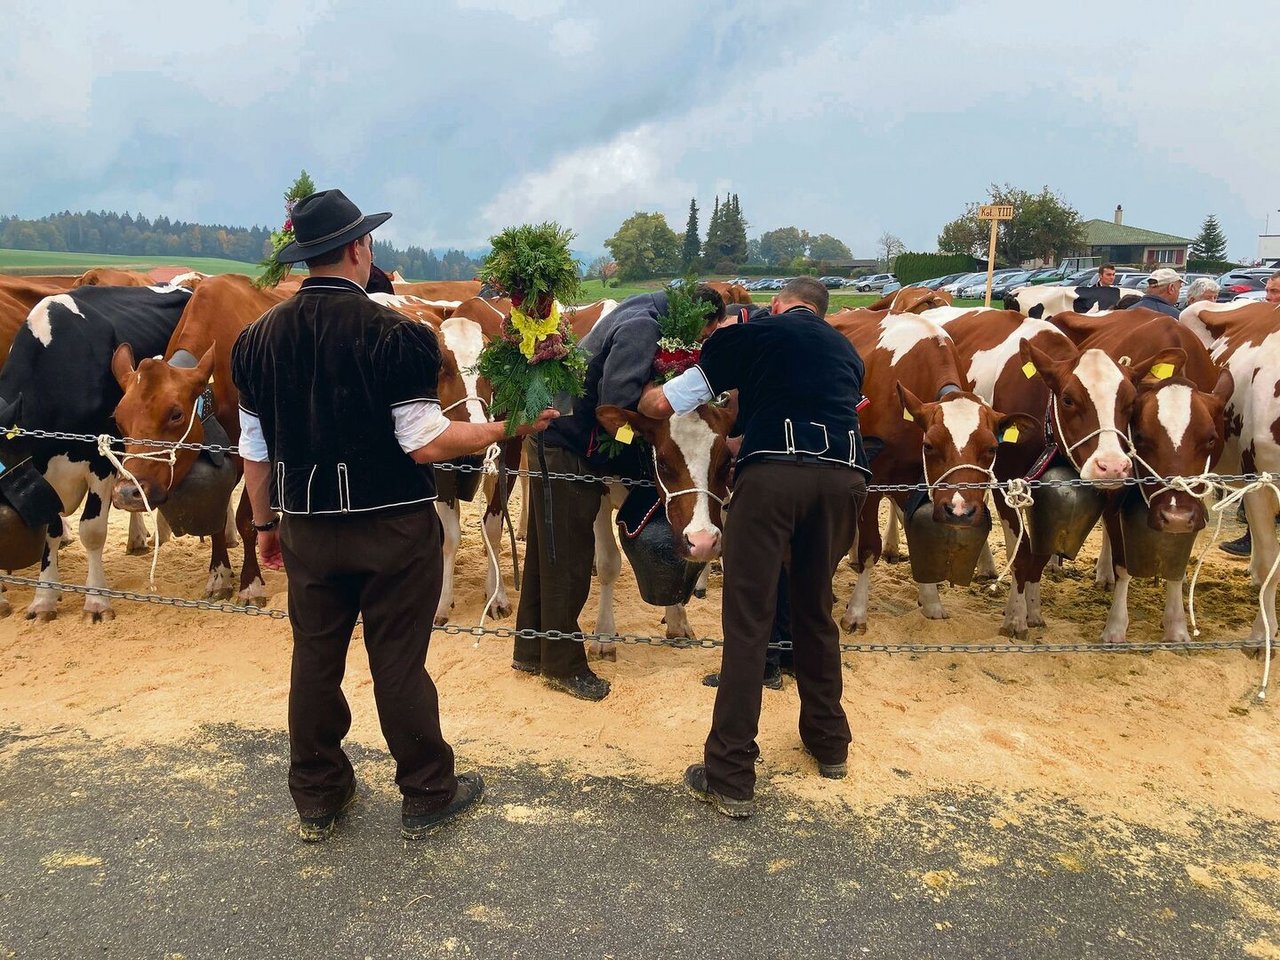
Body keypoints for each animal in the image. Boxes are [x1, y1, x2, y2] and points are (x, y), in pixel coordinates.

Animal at [0, 281, 192, 619]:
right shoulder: (44, 477)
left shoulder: (99, 461)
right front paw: (44, 597)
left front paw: (97, 601)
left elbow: (92, 531)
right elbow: (50, 531)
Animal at [108, 271, 293, 604]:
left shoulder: (255, 453)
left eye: (176, 414)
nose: (128, 493)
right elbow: (217, 518)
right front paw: (219, 575)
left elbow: (246, 521)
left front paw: (251, 584)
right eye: (118, 418)